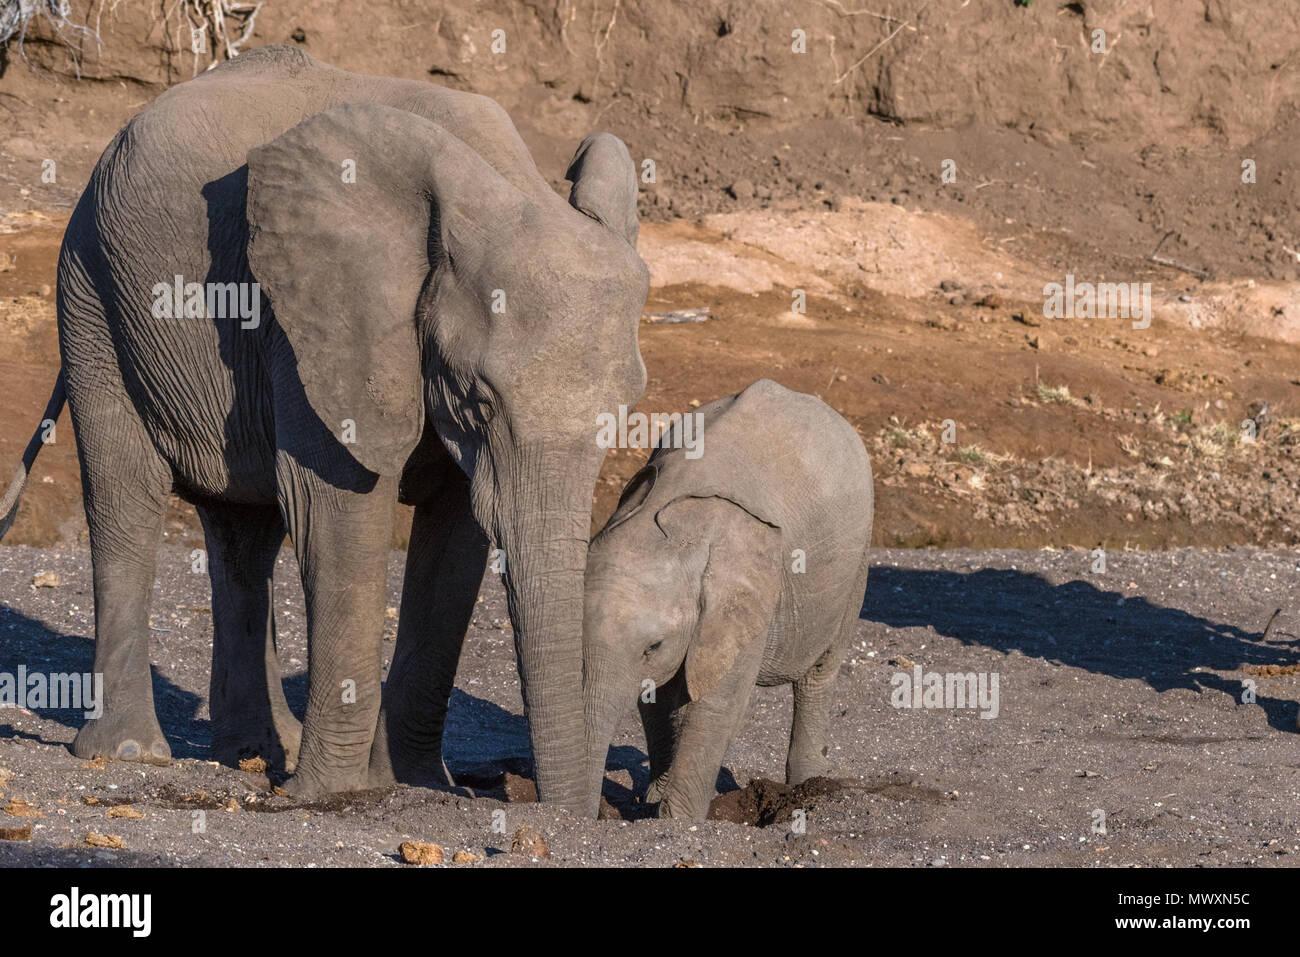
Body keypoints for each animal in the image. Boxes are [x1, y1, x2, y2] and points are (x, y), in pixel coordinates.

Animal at [0, 46, 650, 806]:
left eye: (624, 413)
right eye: (480, 399)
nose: (568, 814)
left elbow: (455, 533)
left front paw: (418, 784)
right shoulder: (313, 313)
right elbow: (339, 506)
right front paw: (332, 796)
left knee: (245, 536)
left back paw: (255, 752)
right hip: (92, 294)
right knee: (125, 497)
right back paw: (132, 754)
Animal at [582, 377, 873, 816]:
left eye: (652, 646)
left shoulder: (749, 594)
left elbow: (715, 708)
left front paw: (675, 822)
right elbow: (656, 700)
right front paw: (654, 801)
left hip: (857, 561)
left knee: (819, 672)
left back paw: (809, 787)